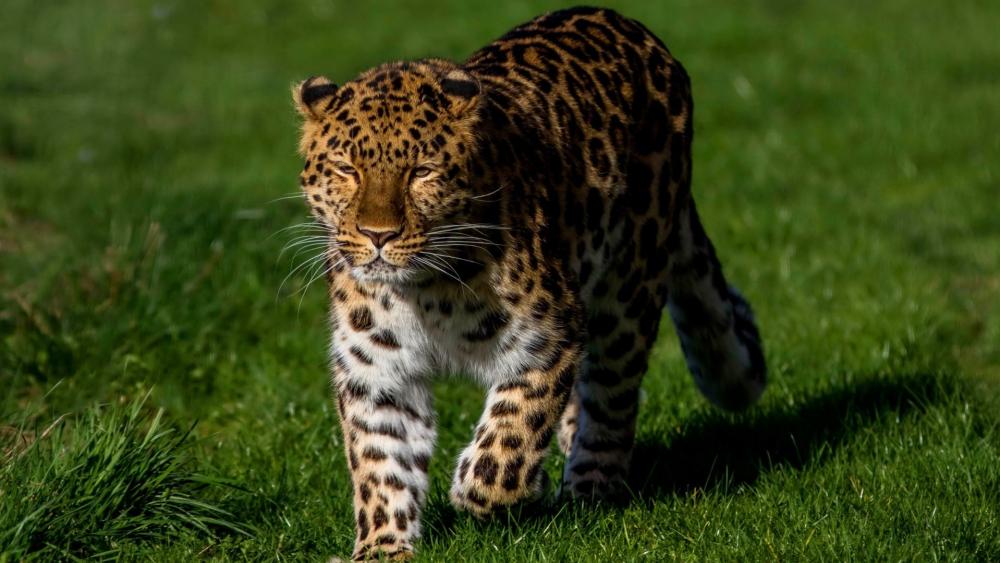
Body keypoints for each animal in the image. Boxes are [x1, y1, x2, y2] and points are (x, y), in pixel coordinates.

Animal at [290, 6, 766, 560]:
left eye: (421, 172)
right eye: (346, 168)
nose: (378, 235)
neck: (422, 292)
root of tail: (628, 24)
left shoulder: (550, 333)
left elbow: (513, 432)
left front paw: (482, 485)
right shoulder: (377, 369)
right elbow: (380, 462)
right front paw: (383, 547)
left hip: (629, 287)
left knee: (612, 396)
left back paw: (590, 487)